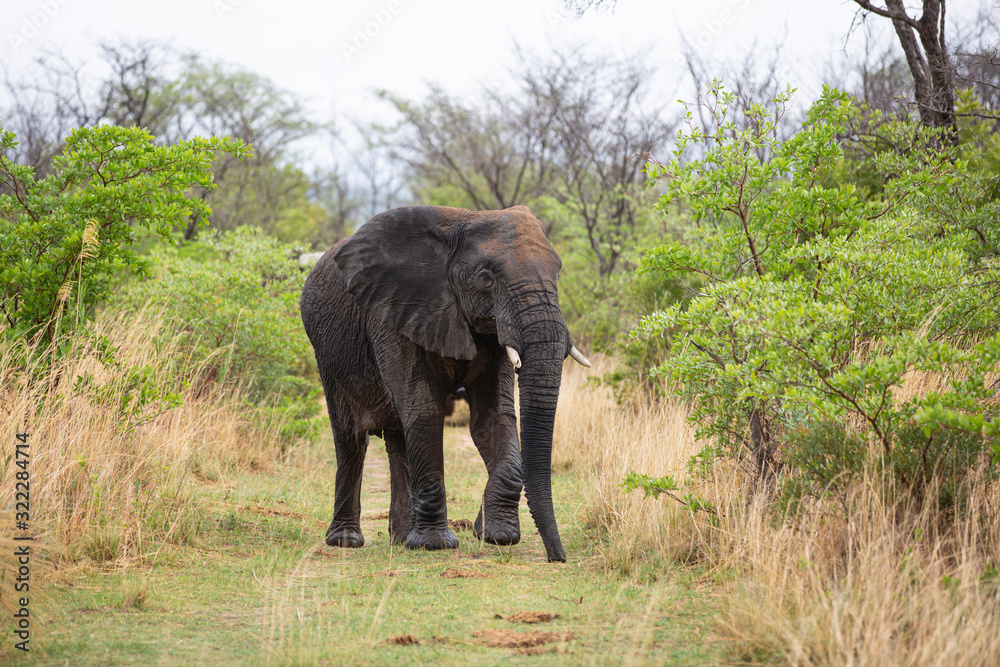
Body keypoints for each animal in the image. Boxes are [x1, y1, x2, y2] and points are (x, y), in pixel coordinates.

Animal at [300, 205, 590, 562]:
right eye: (486, 277)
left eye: (558, 274)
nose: (557, 557)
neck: (462, 221)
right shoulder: (397, 310)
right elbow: (424, 411)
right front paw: (436, 544)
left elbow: (493, 417)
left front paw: (496, 535)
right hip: (326, 352)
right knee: (351, 439)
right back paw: (346, 541)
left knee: (398, 435)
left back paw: (401, 538)